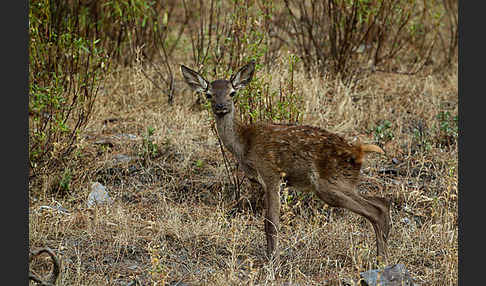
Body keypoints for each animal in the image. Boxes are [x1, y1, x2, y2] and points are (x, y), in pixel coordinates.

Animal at [181, 60, 392, 264]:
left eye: (232, 93)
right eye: (209, 94)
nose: (221, 107)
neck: (244, 145)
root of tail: (359, 151)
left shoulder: (271, 173)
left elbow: (271, 222)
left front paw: (272, 261)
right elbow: (267, 221)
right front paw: (270, 256)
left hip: (330, 184)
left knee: (375, 210)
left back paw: (380, 261)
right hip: (344, 183)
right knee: (382, 202)